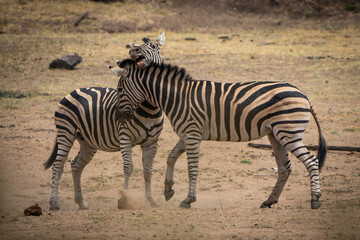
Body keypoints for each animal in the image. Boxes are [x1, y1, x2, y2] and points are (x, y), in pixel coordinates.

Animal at [43, 32, 166, 210]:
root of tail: (73, 91)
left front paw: (151, 200)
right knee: (58, 165)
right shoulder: (125, 136)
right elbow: (128, 167)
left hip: (87, 141)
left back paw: (81, 202)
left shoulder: (152, 141)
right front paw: (124, 200)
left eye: (154, 47)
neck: (149, 108)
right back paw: (54, 202)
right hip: (66, 132)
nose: (134, 49)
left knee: (75, 165)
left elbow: (148, 170)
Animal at [114, 59, 326, 209]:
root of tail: (303, 94)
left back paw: (315, 199)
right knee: (285, 168)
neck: (177, 98)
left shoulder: (192, 133)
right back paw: (269, 201)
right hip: (276, 134)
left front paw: (188, 199)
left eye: (120, 89)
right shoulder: (187, 134)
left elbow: (192, 169)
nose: (118, 118)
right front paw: (168, 189)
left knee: (311, 161)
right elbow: (171, 157)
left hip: (289, 132)